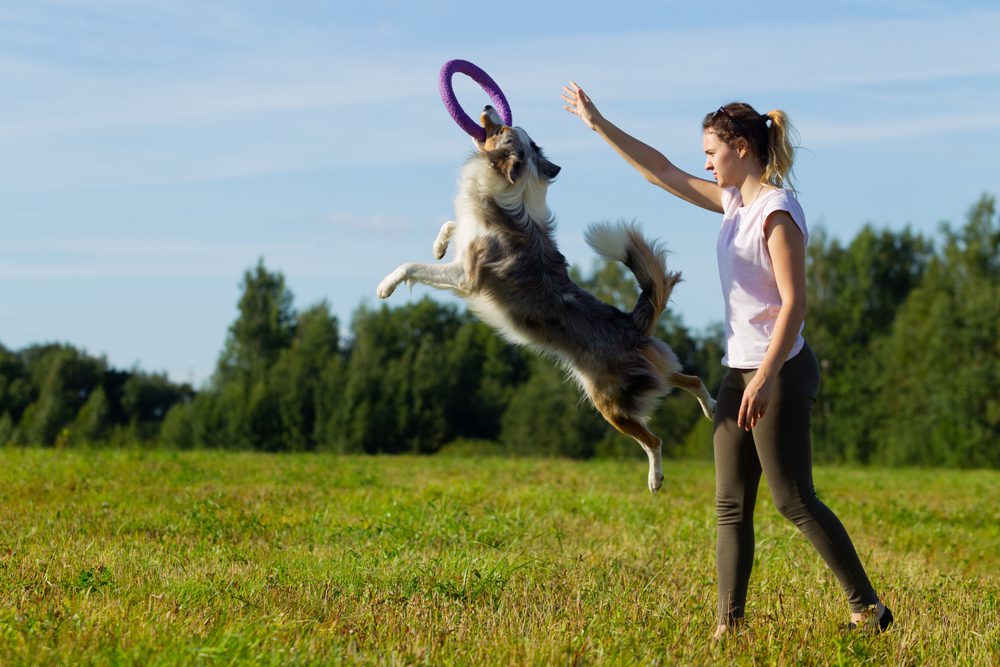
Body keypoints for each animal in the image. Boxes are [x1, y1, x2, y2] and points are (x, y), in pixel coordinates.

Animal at [378, 105, 716, 490]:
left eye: (501, 129)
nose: (487, 108)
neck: (515, 192)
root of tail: (632, 325)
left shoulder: (466, 275)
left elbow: (412, 266)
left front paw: (386, 285)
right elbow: (451, 225)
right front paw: (438, 244)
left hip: (610, 402)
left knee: (654, 440)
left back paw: (655, 479)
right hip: (651, 371)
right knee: (690, 378)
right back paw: (711, 409)